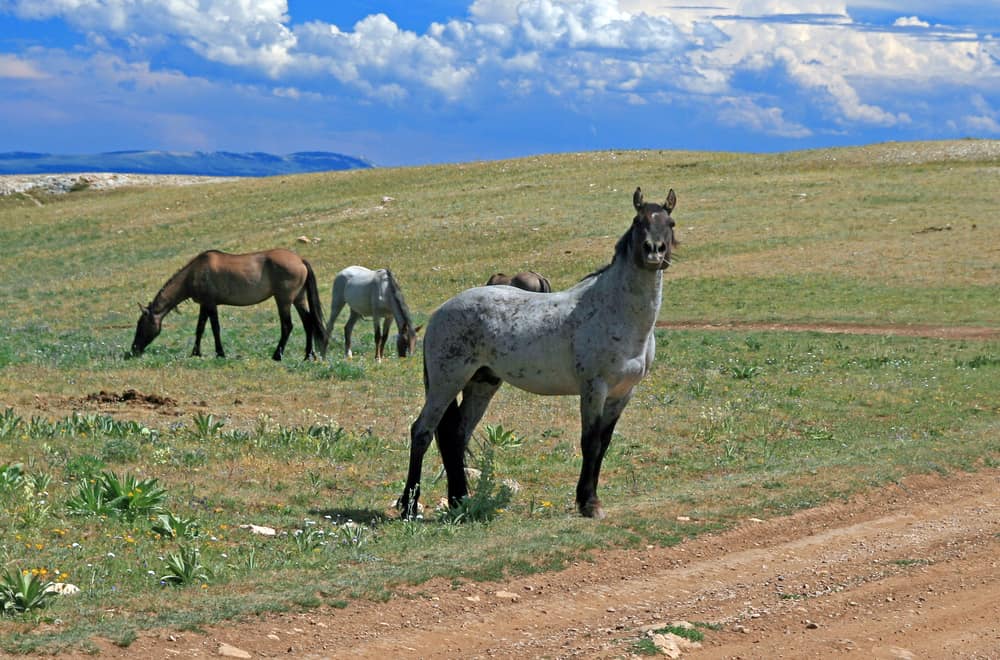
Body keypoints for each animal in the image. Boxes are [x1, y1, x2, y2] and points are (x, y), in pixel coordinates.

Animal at [130, 248, 327, 361]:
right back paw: (308, 355)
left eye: (141, 325)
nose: (133, 350)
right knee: (308, 323)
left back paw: (277, 355)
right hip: (299, 299)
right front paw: (196, 353)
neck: (194, 273)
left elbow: (215, 328)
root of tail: (300, 259)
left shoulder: (210, 304)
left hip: (284, 300)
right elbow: (200, 328)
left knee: (287, 325)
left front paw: (220, 353)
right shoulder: (204, 305)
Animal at [399, 187, 678, 520]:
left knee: (456, 436)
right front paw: (588, 503)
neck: (616, 311)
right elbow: (590, 442)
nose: (654, 252)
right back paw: (409, 507)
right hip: (447, 381)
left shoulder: (622, 393)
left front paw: (590, 500)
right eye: (638, 221)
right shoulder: (594, 389)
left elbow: (604, 443)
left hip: (482, 383)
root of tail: (440, 312)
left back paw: (460, 500)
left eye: (670, 223)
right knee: (422, 432)